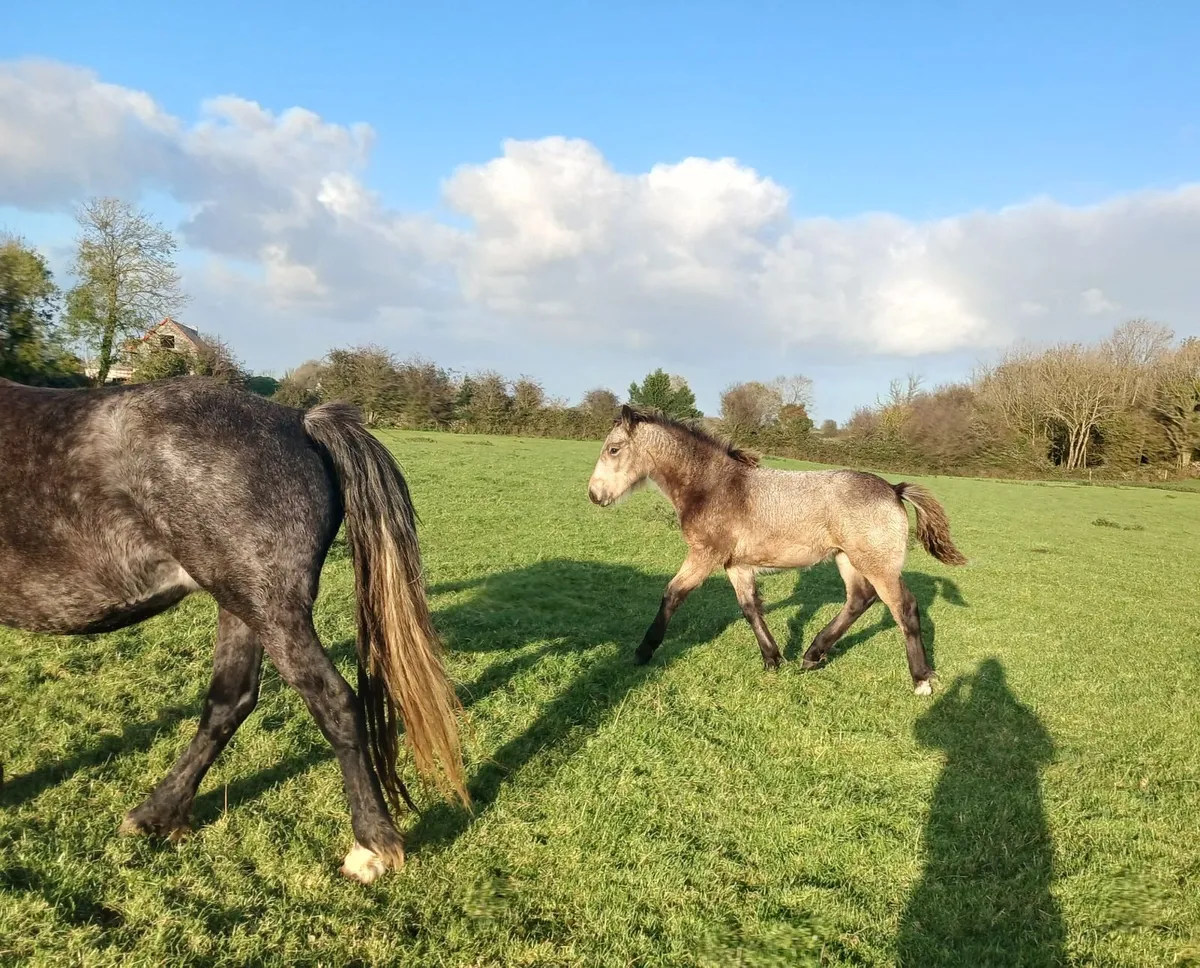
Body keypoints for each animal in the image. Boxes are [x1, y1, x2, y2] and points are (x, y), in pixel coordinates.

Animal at [0, 376, 468, 884]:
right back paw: (157, 815)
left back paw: (371, 844)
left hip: (269, 608)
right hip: (240, 605)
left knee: (335, 701)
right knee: (230, 700)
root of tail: (300, 420)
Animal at [586, 405, 967, 695]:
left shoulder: (705, 554)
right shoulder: (736, 564)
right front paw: (773, 659)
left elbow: (672, 594)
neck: (714, 486)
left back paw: (921, 679)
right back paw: (812, 655)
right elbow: (750, 608)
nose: (594, 495)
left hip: (877, 565)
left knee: (904, 608)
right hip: (847, 559)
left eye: (614, 449)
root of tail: (893, 488)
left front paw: (643, 651)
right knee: (859, 600)